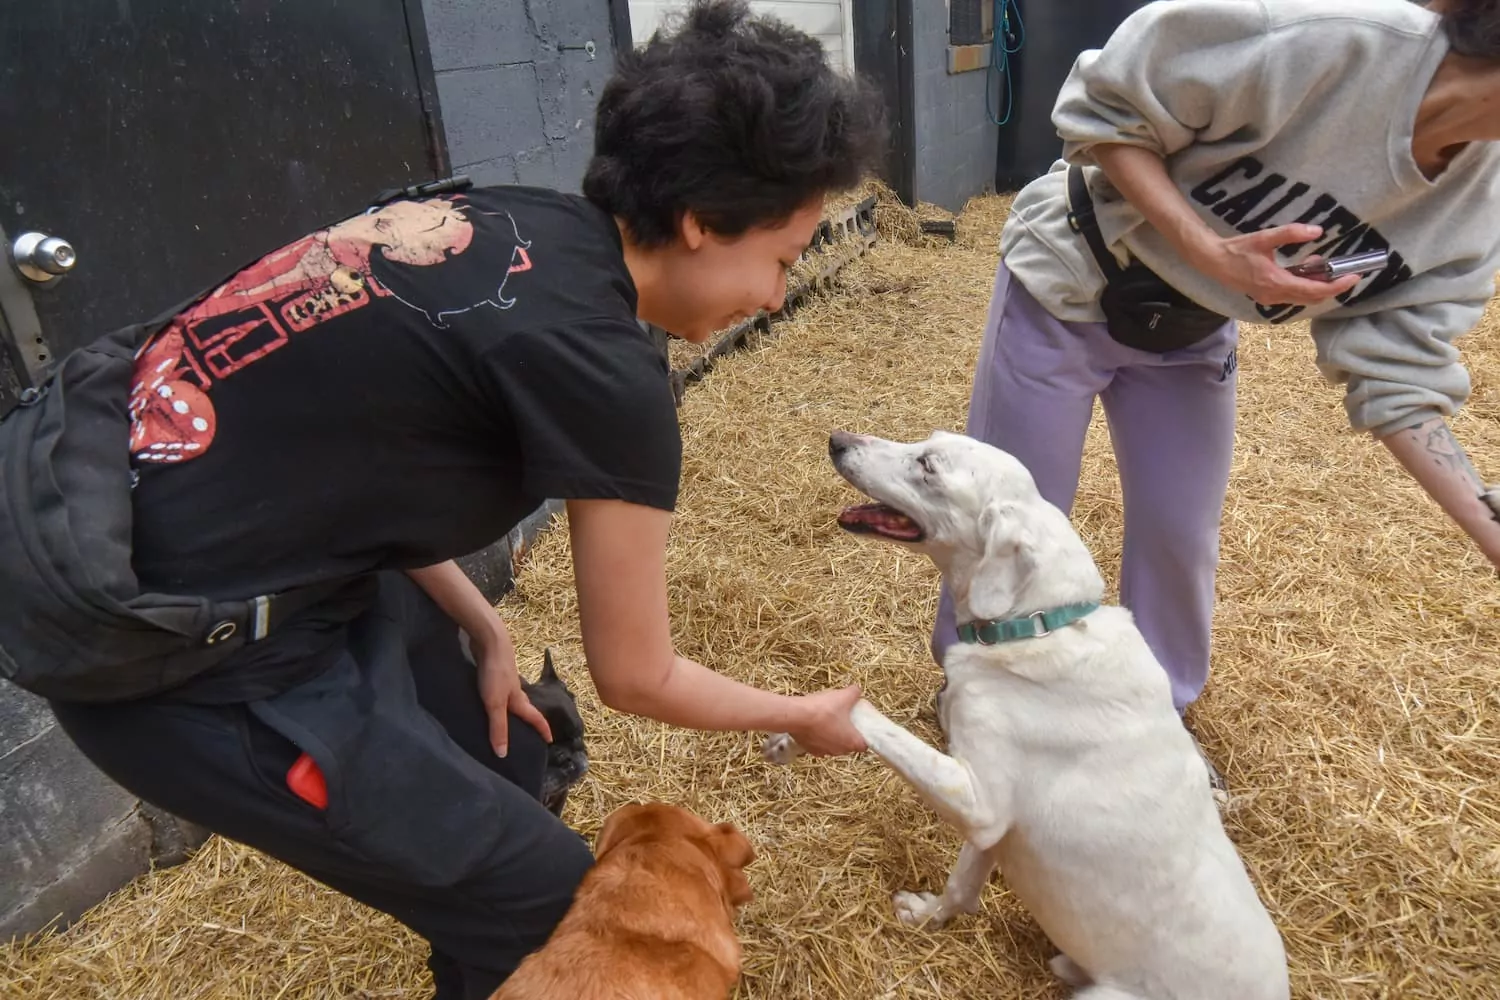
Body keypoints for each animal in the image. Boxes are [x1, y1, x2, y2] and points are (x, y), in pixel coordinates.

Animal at [762, 431, 1290, 1000]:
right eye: (928, 440)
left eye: (927, 465)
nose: (837, 440)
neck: (1038, 623)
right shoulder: (996, 829)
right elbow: (961, 888)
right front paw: (926, 915)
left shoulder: (981, 803)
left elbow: (865, 712)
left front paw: (802, 731)